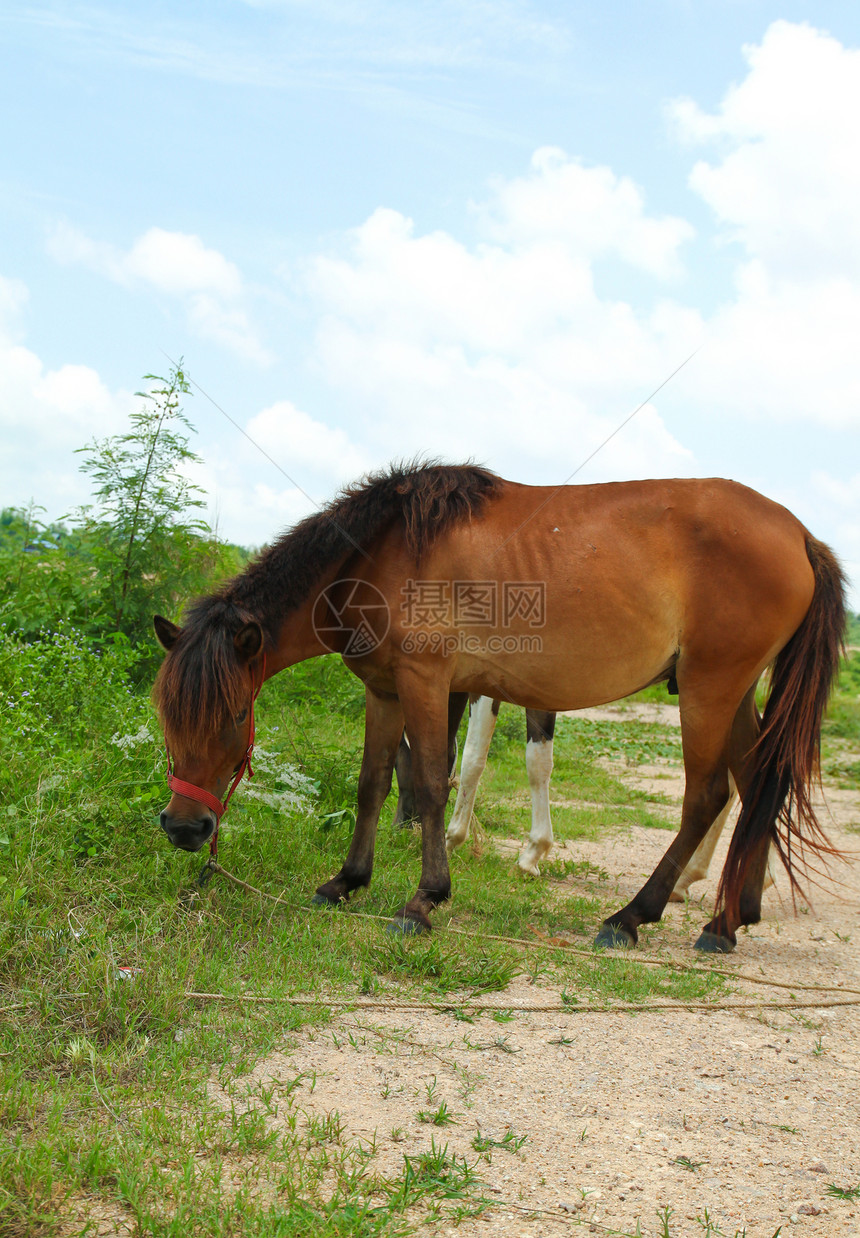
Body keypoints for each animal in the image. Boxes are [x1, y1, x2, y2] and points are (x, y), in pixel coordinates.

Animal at [151, 460, 846, 950]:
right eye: (167, 717)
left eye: (235, 716)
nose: (185, 829)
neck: (383, 553)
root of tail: (800, 534)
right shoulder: (384, 691)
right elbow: (373, 783)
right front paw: (346, 882)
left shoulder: (428, 684)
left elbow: (433, 782)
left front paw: (423, 900)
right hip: (735, 694)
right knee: (759, 785)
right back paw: (729, 921)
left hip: (709, 689)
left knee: (707, 796)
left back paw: (631, 917)